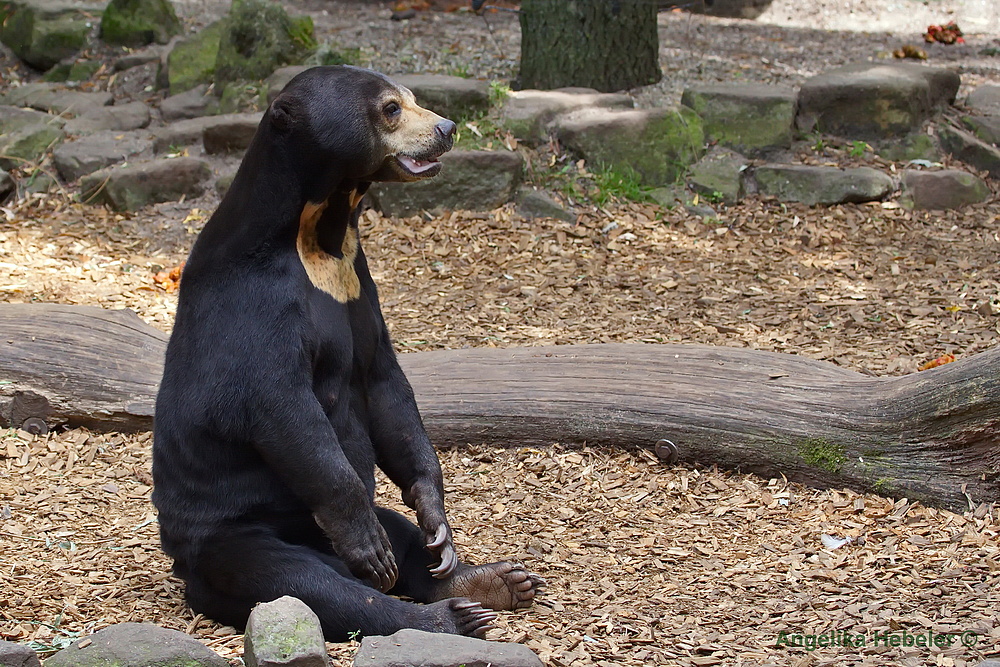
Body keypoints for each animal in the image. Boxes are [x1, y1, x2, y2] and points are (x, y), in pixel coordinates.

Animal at [155, 66, 544, 640]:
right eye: (390, 108)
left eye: (411, 98)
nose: (447, 128)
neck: (319, 234)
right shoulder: (256, 301)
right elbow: (282, 407)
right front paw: (370, 549)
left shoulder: (358, 282)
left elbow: (386, 384)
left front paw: (436, 515)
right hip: (229, 536)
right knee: (304, 582)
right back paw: (440, 613)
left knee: (400, 536)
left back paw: (487, 580)